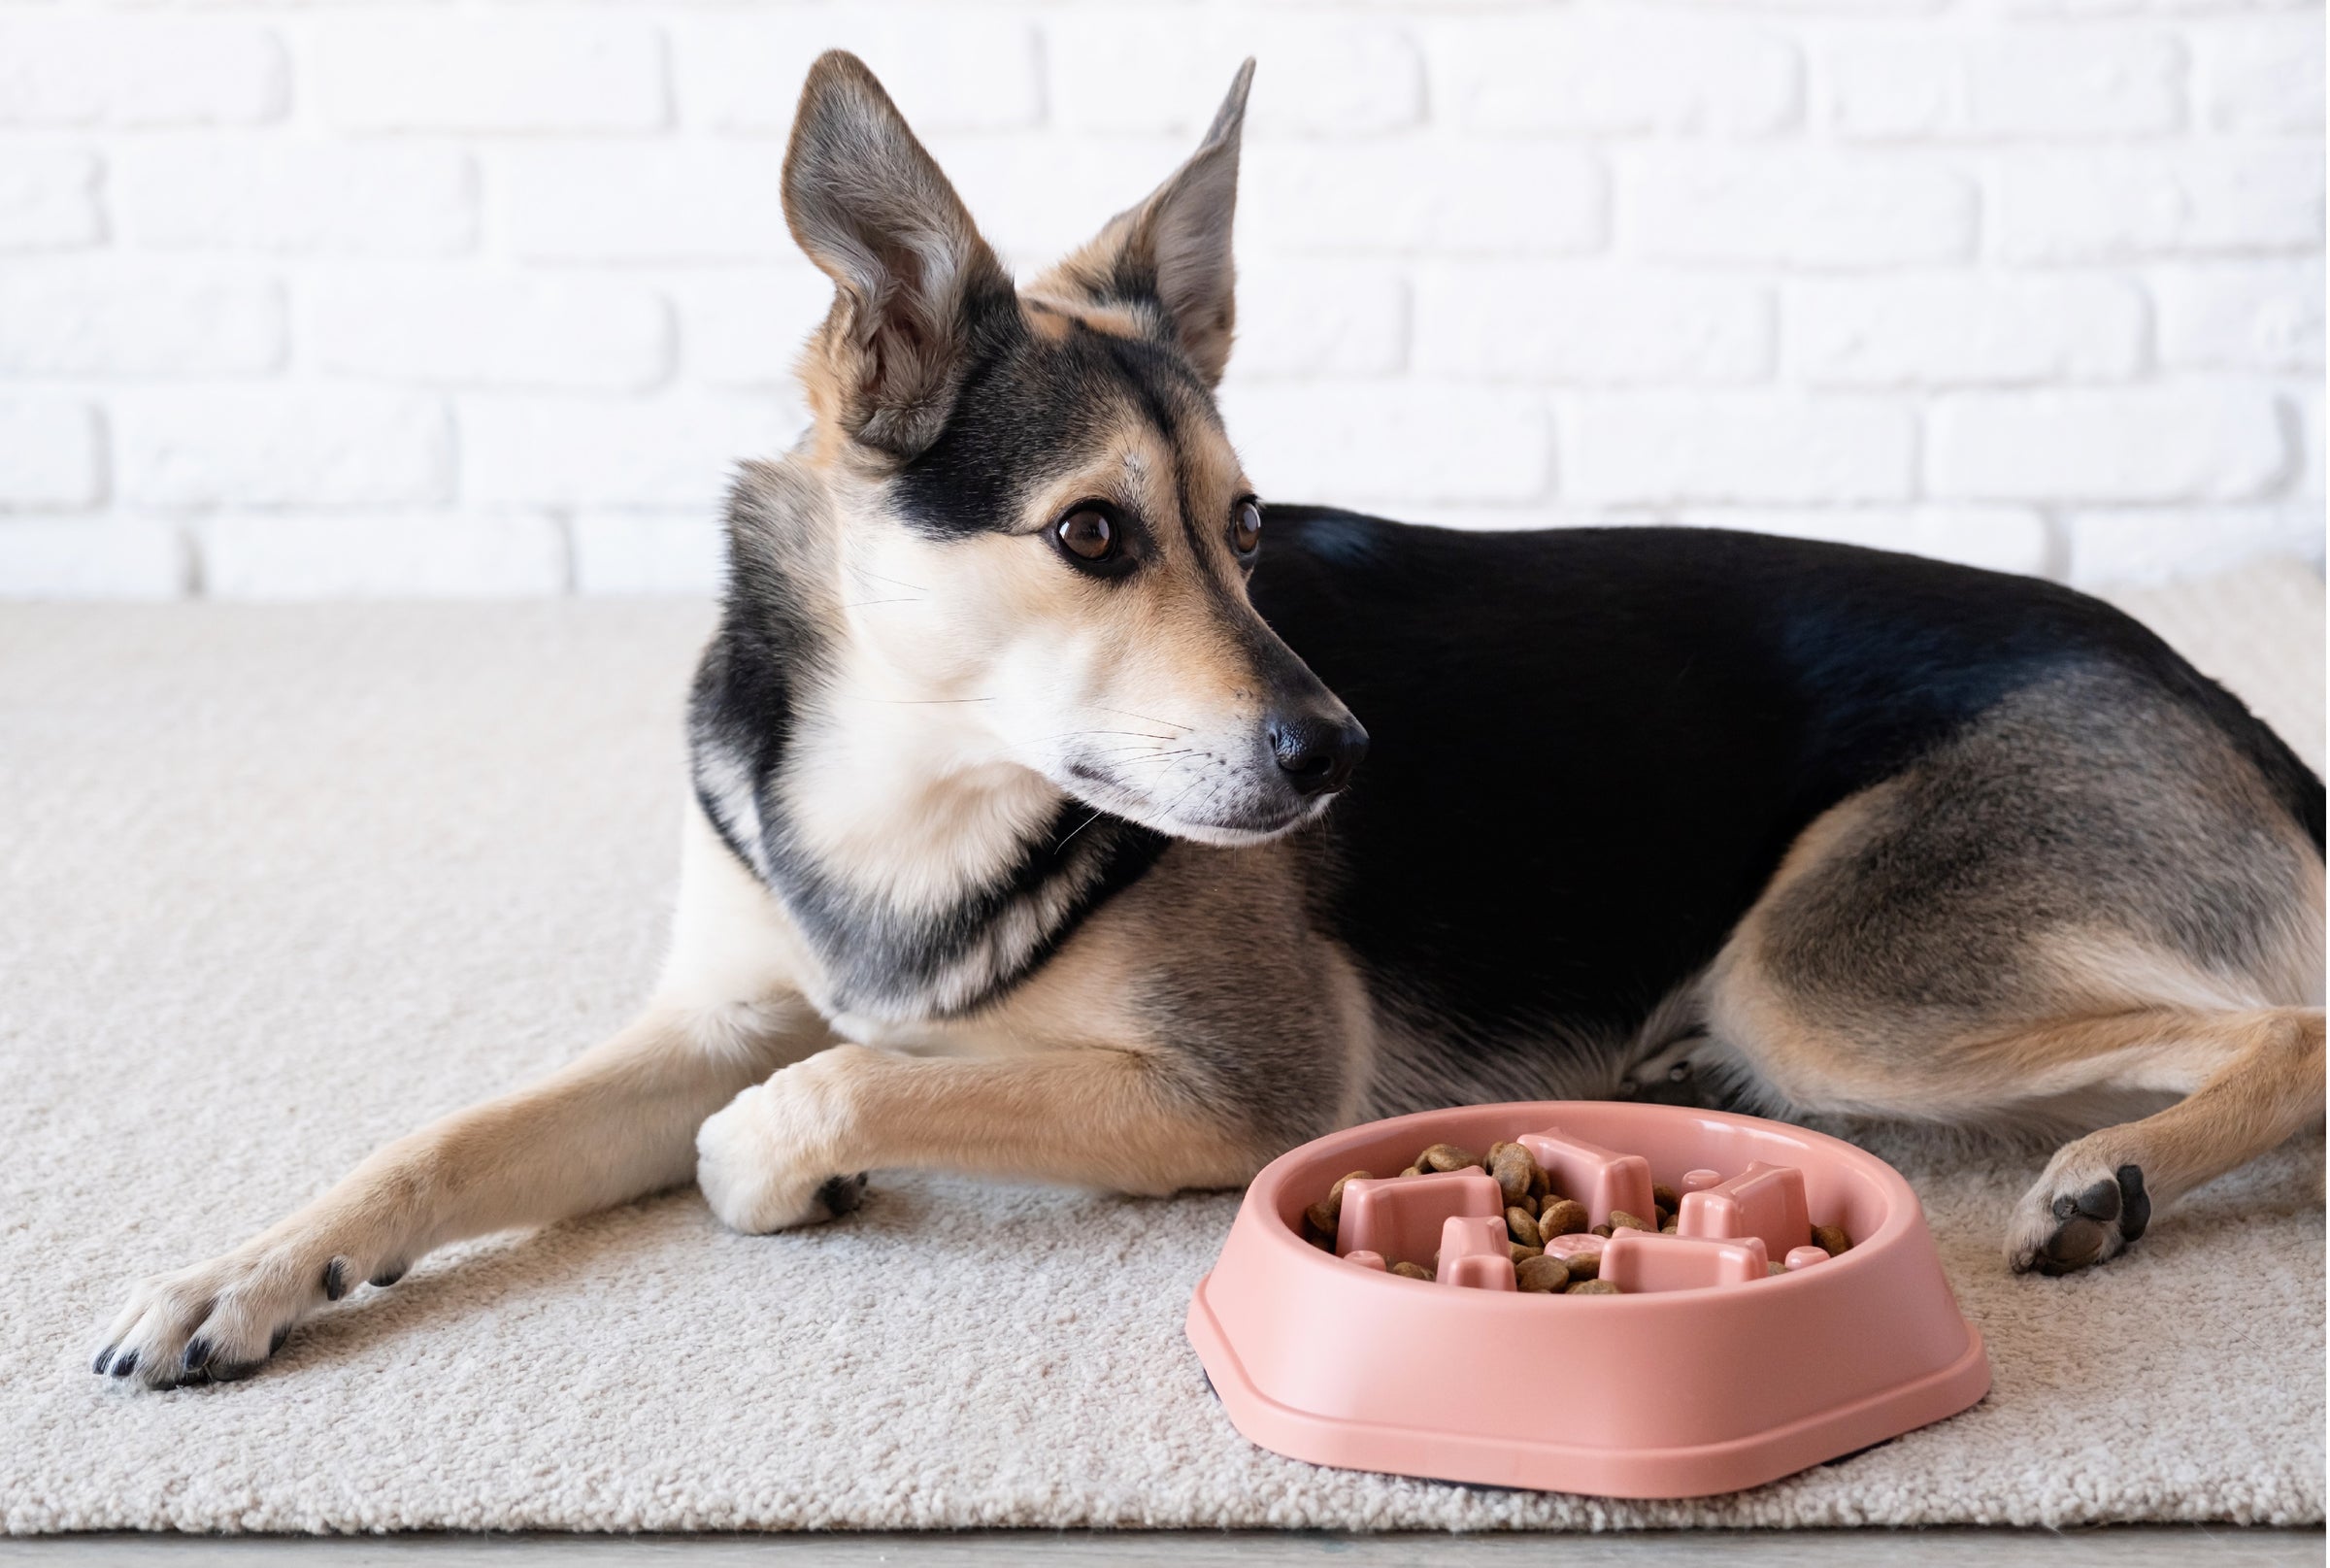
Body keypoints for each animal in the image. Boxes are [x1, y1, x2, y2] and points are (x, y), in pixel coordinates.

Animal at [95, 54, 2330, 1388]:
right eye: (1095, 534)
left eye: (1249, 530)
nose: (1346, 761)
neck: (912, 783)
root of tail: (2203, 687)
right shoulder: (707, 1016)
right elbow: (444, 1137)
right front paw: (240, 1274)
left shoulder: (1237, 1093)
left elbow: (808, 1100)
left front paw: (809, 1168)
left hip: (1831, 969)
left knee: (2290, 1024)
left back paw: (2109, 1177)